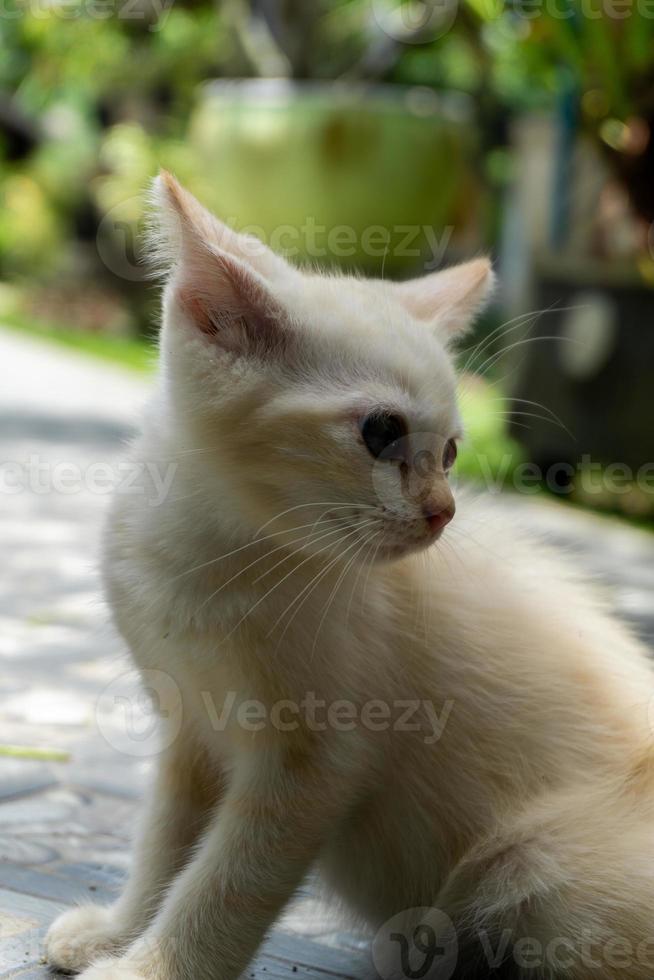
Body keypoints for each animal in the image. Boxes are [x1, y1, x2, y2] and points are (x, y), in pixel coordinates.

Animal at [47, 172, 654, 976]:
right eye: (382, 432)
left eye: (450, 452)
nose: (442, 513)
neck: (211, 556)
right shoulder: (190, 731)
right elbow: (164, 843)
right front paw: (118, 930)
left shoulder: (316, 765)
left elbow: (225, 883)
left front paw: (155, 966)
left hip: (538, 856)